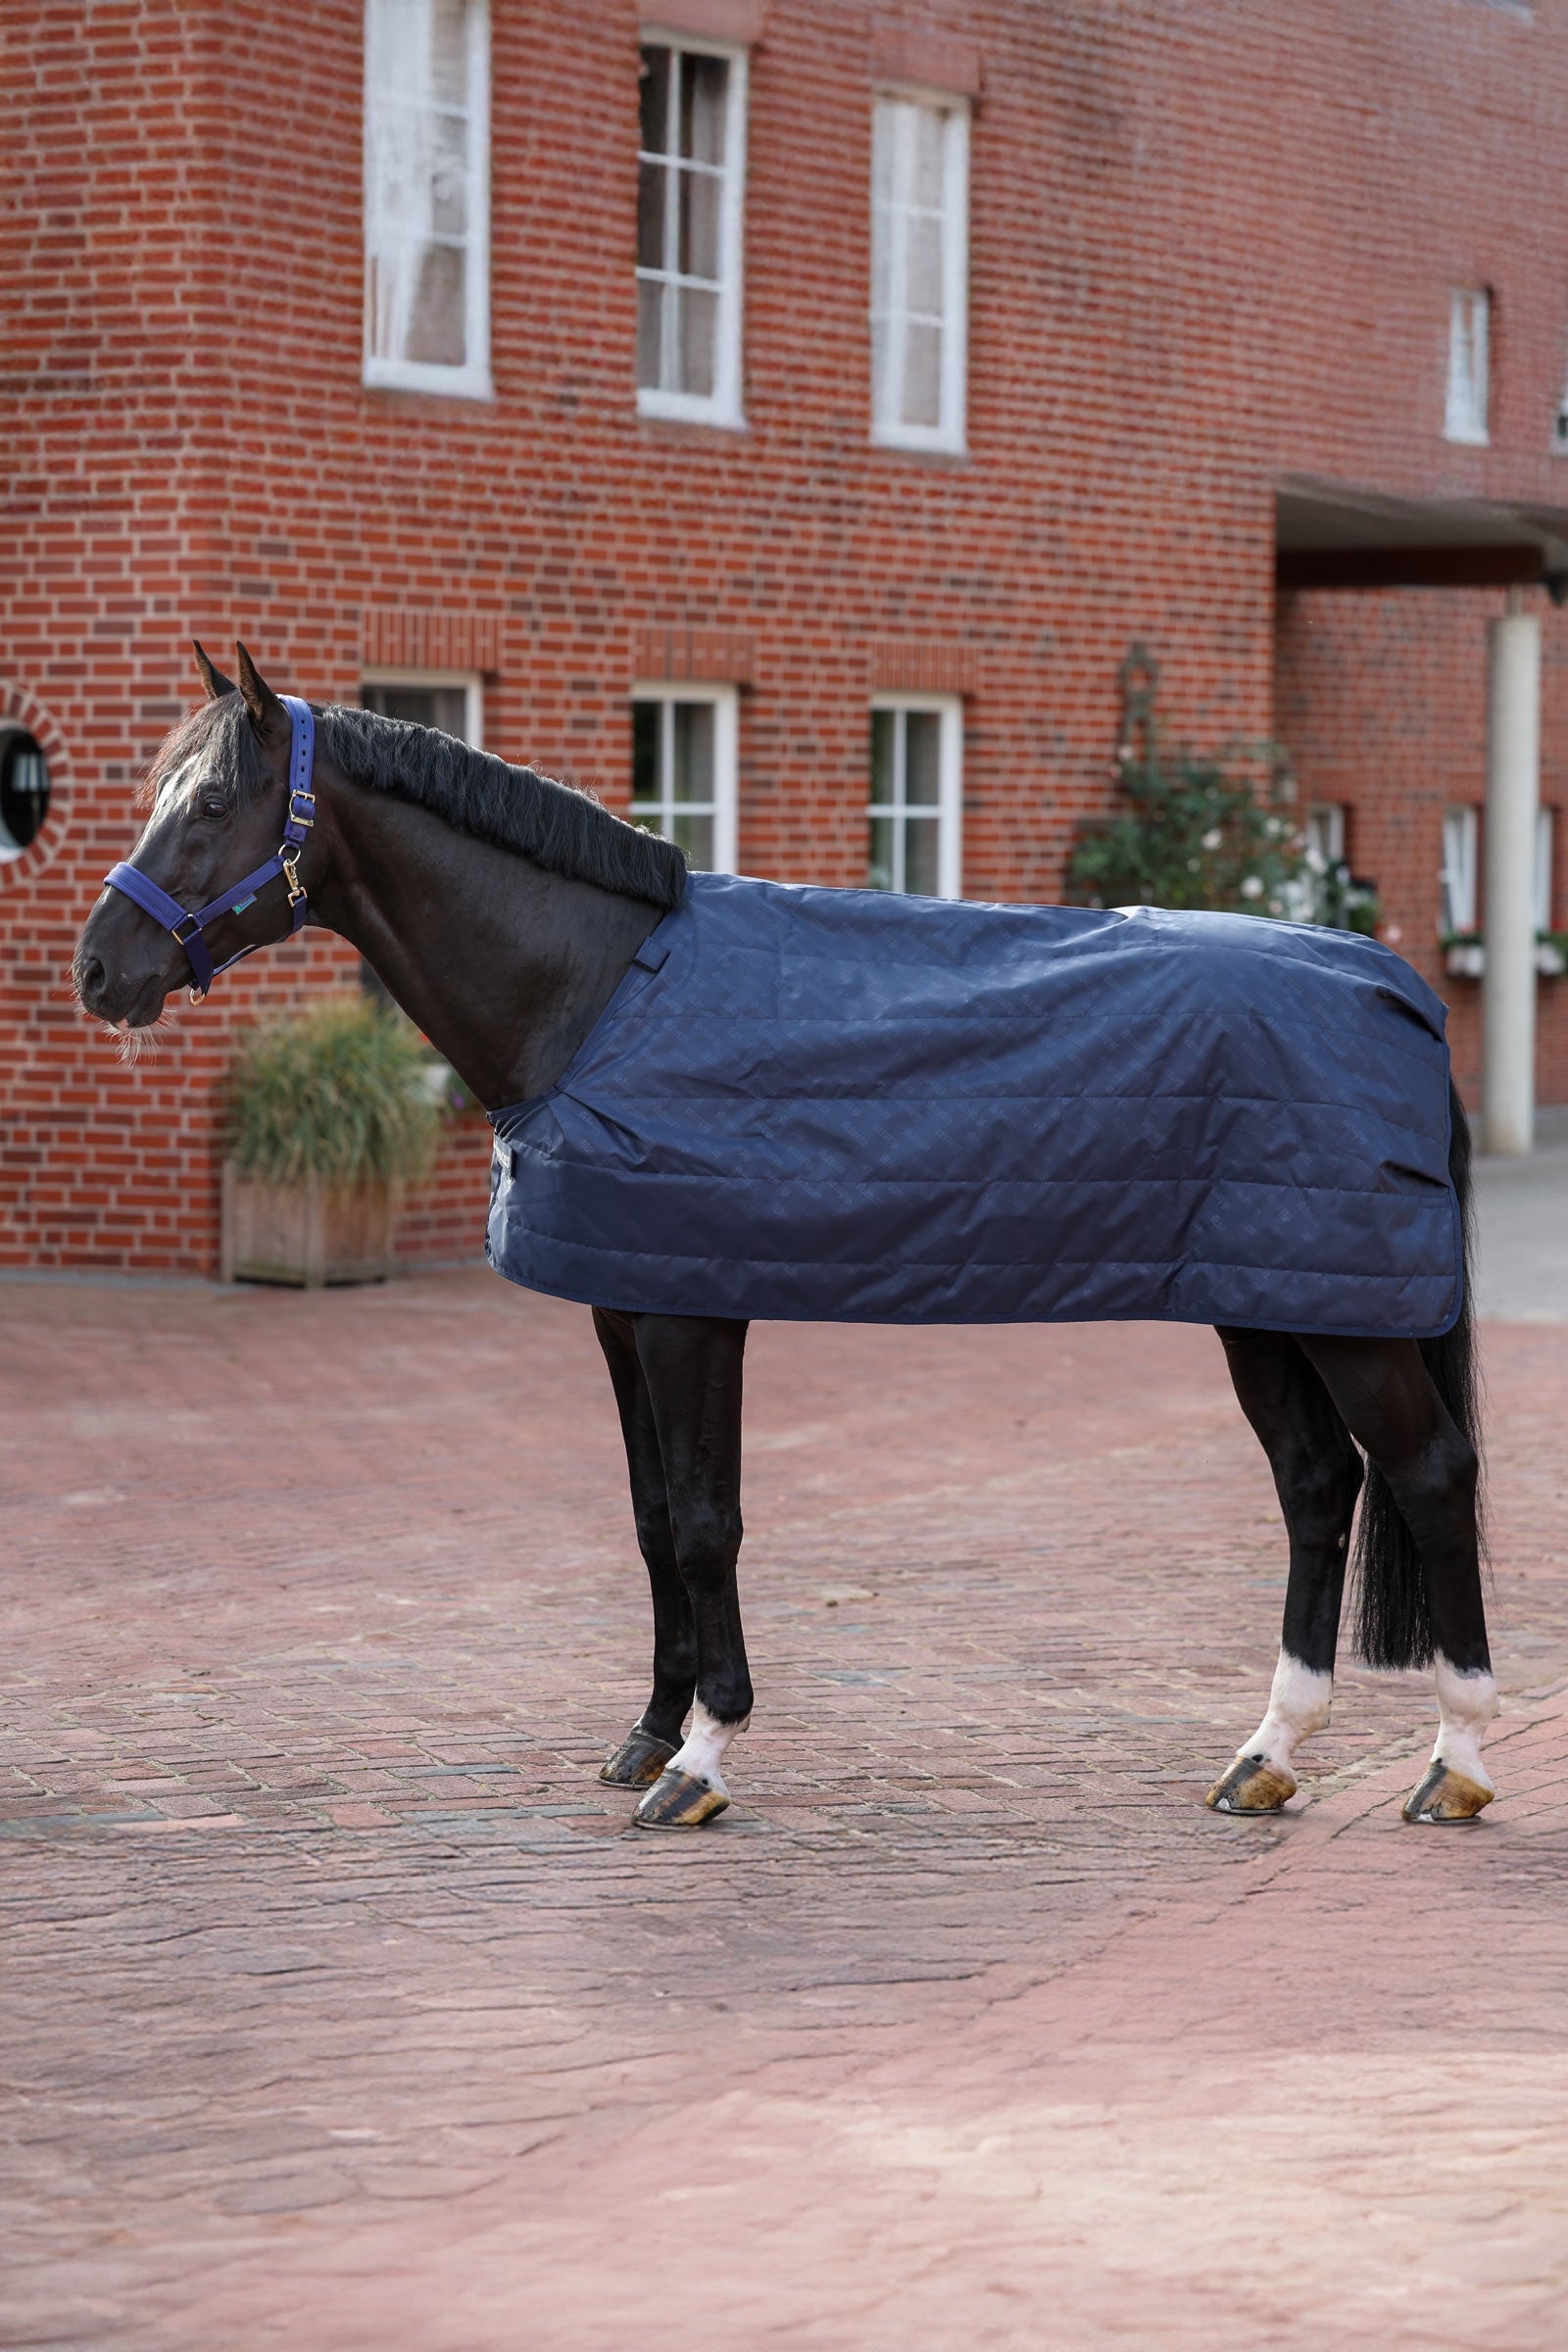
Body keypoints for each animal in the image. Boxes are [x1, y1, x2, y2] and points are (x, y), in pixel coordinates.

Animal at [72, 643, 1499, 1832]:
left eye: (212, 806)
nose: (99, 969)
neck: (597, 995)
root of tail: (1396, 991)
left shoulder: (692, 1311)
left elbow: (709, 1520)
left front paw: (702, 1761)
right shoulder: (623, 1304)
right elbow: (653, 1517)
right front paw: (648, 1734)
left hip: (1345, 1322)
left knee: (1429, 1475)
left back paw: (1455, 1762)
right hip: (1270, 1302)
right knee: (1315, 1485)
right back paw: (1268, 1753)